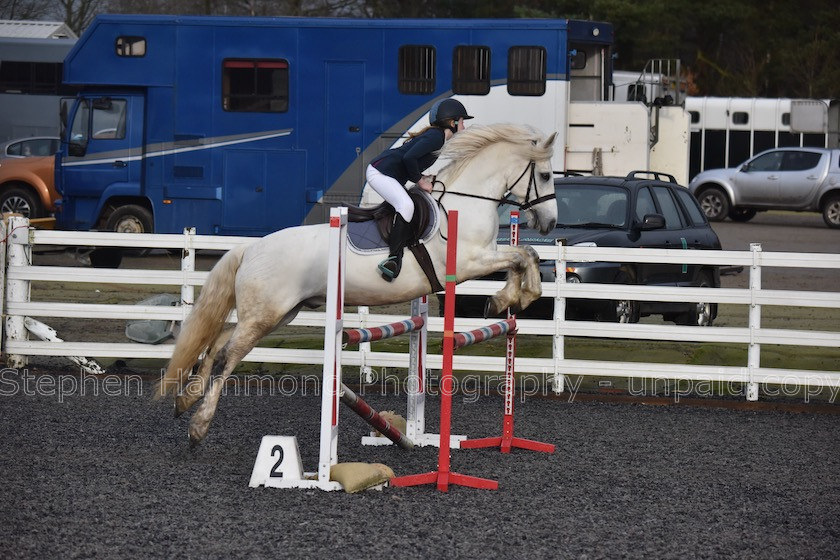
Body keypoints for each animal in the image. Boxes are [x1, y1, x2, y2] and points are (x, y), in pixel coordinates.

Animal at [158, 122, 556, 442]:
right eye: (547, 176)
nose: (550, 223)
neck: (466, 201)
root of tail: (251, 248)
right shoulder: (469, 261)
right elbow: (522, 257)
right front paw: (511, 298)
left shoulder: (486, 254)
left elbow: (526, 255)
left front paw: (513, 298)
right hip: (265, 315)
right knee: (228, 355)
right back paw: (198, 426)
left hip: (276, 313)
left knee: (216, 345)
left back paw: (184, 400)